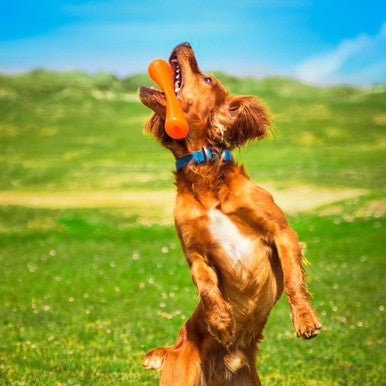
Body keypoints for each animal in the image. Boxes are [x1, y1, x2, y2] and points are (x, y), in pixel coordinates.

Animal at [138, 40, 320, 384]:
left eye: (208, 79)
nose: (184, 43)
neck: (205, 176)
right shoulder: (195, 253)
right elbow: (207, 287)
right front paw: (221, 321)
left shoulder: (281, 232)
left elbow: (293, 278)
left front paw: (305, 320)